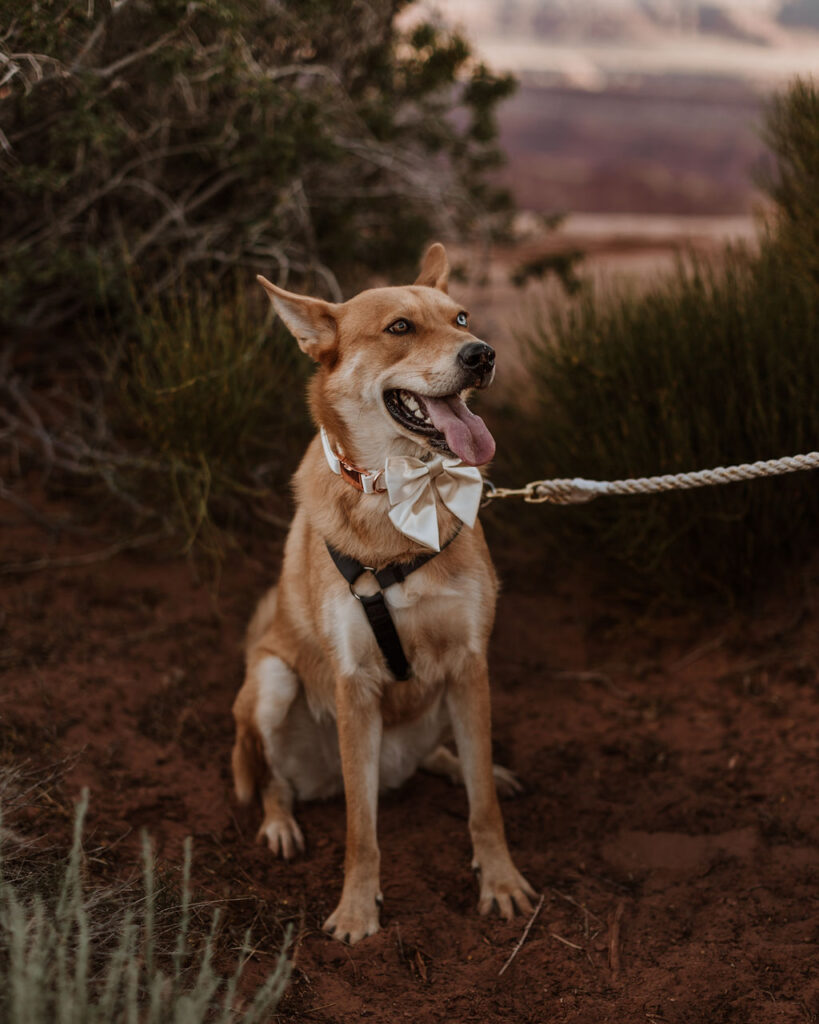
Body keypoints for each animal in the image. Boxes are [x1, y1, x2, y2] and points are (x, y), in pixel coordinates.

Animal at [232, 239, 536, 942]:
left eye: (461, 317)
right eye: (399, 328)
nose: (482, 354)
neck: (401, 495)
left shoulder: (470, 663)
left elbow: (482, 805)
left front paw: (500, 881)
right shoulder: (355, 683)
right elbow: (359, 827)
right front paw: (356, 909)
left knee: (455, 758)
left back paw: (473, 767)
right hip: (272, 682)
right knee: (275, 783)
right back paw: (280, 825)